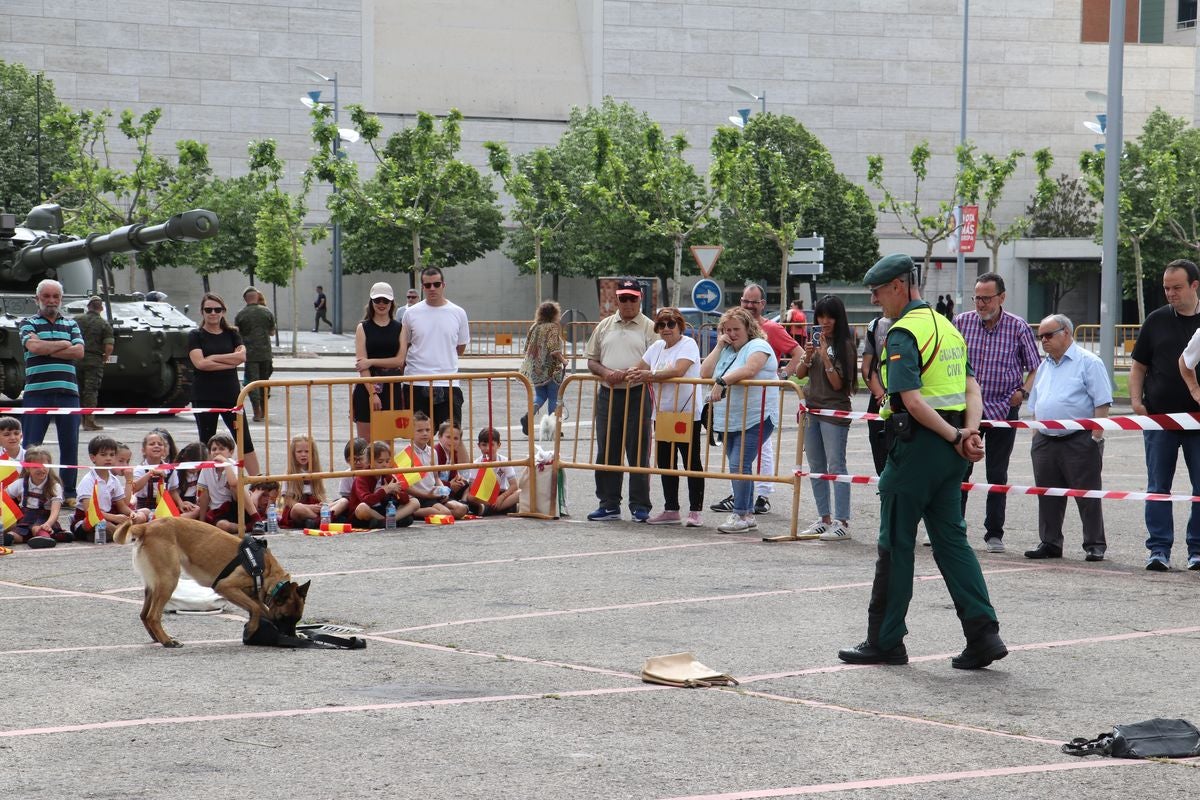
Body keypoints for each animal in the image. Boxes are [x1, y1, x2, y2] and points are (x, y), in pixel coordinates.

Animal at [112, 515, 309, 647]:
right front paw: (252, 630)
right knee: (153, 616)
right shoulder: (226, 587)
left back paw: (158, 638)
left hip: (154, 584)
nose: (291, 637)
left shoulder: (250, 596)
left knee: (144, 615)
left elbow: (262, 610)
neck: (264, 568)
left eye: (297, 619)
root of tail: (146, 526)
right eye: (285, 618)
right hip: (169, 580)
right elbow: (255, 609)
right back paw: (167, 641)